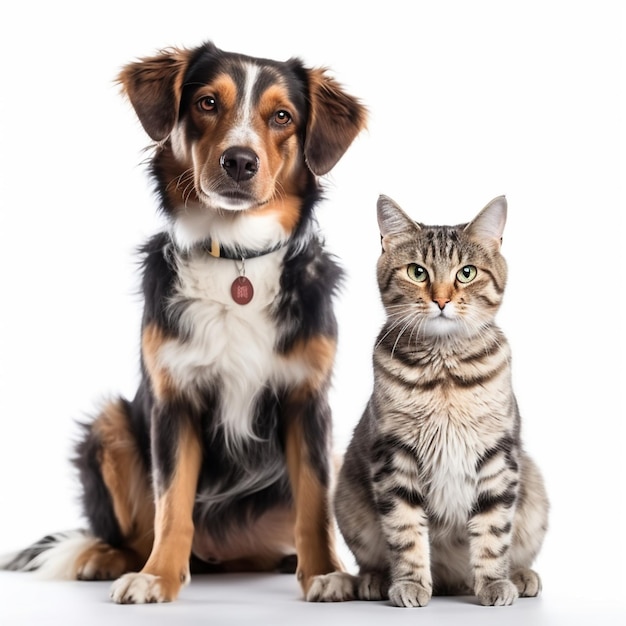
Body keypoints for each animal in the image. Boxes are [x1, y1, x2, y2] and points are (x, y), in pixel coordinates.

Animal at [2, 40, 366, 604]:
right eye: (207, 103)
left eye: (283, 116)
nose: (239, 161)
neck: (235, 259)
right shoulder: (173, 400)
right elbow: (171, 502)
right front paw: (157, 576)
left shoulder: (307, 399)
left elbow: (314, 501)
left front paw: (326, 572)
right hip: (109, 423)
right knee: (133, 531)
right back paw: (107, 557)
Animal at [308, 194, 544, 604]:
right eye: (417, 272)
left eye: (466, 273)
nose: (441, 300)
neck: (444, 371)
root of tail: (452, 581)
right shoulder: (394, 455)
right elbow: (405, 533)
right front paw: (410, 583)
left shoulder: (497, 454)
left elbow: (493, 531)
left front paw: (494, 582)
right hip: (346, 500)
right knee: (367, 563)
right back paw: (369, 581)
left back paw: (519, 575)